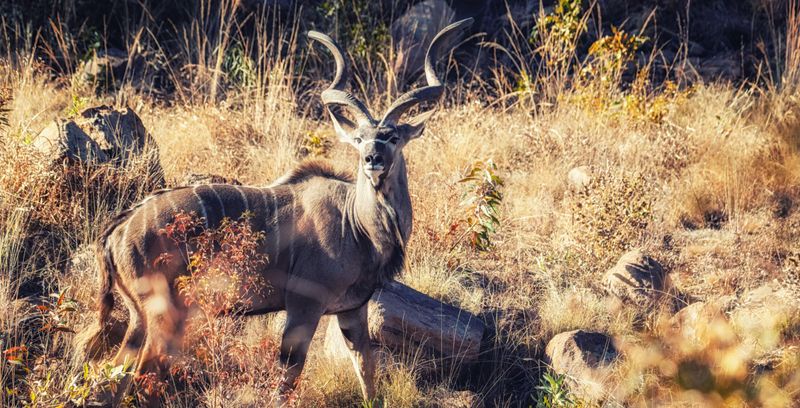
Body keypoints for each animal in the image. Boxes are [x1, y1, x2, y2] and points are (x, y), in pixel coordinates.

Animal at [76, 18, 468, 402]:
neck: (356, 226)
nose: (372, 158)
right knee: (143, 376)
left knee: (112, 379)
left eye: (393, 137)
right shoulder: (303, 306)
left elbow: (367, 375)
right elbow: (286, 381)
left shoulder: (352, 310)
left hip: (139, 317)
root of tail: (117, 230)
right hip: (167, 313)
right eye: (358, 139)